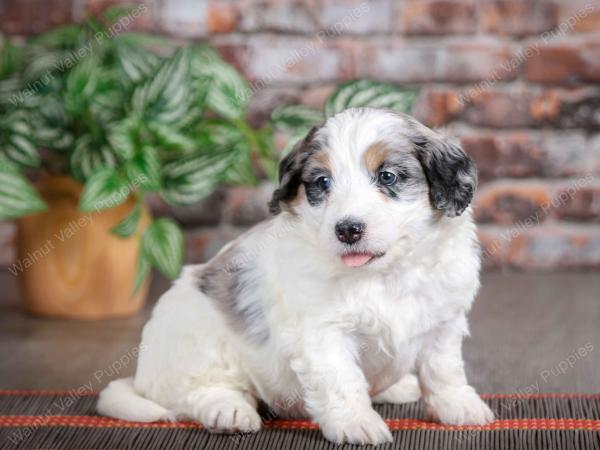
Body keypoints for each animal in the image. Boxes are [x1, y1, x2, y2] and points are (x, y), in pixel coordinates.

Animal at [98, 108, 492, 442]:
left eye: (388, 176)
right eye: (322, 182)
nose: (347, 229)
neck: (384, 274)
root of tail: (142, 375)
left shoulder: (443, 322)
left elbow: (443, 370)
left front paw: (459, 406)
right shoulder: (323, 332)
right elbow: (341, 379)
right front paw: (356, 423)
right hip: (198, 342)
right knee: (198, 391)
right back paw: (228, 411)